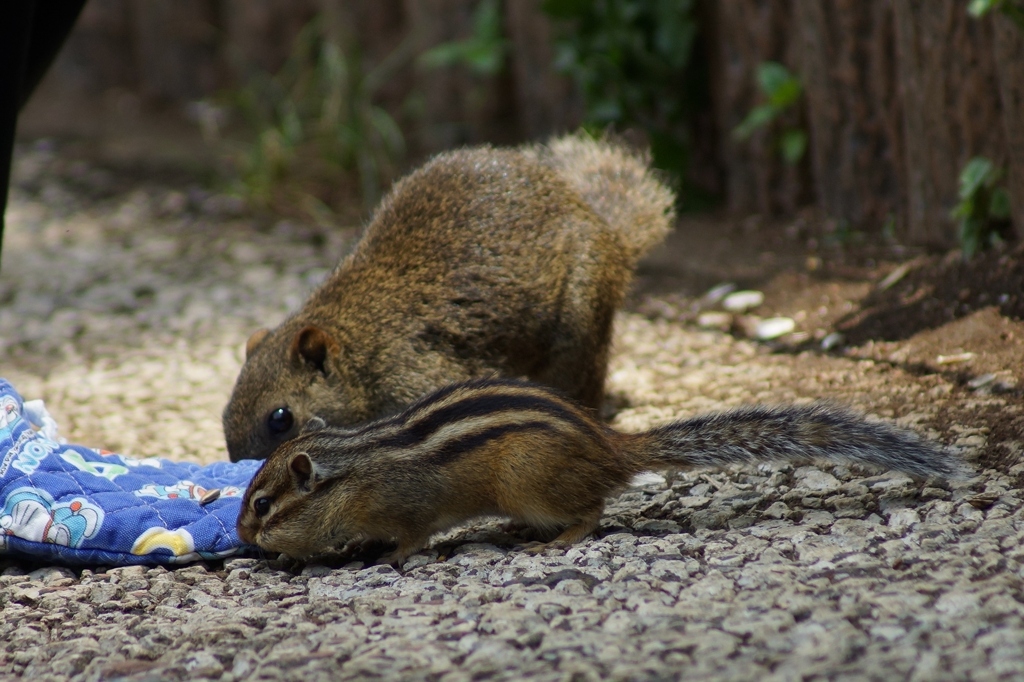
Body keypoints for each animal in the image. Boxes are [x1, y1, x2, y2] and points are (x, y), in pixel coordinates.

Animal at [220, 133, 675, 462]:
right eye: (224, 415)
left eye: (281, 418)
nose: (243, 467)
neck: (363, 343)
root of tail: (608, 231)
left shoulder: (422, 369)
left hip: (579, 320)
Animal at [235, 374, 962, 561]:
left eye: (263, 504)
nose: (242, 535)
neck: (352, 471)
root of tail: (614, 447)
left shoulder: (410, 504)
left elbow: (412, 538)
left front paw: (387, 557)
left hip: (530, 485)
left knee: (592, 511)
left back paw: (554, 540)